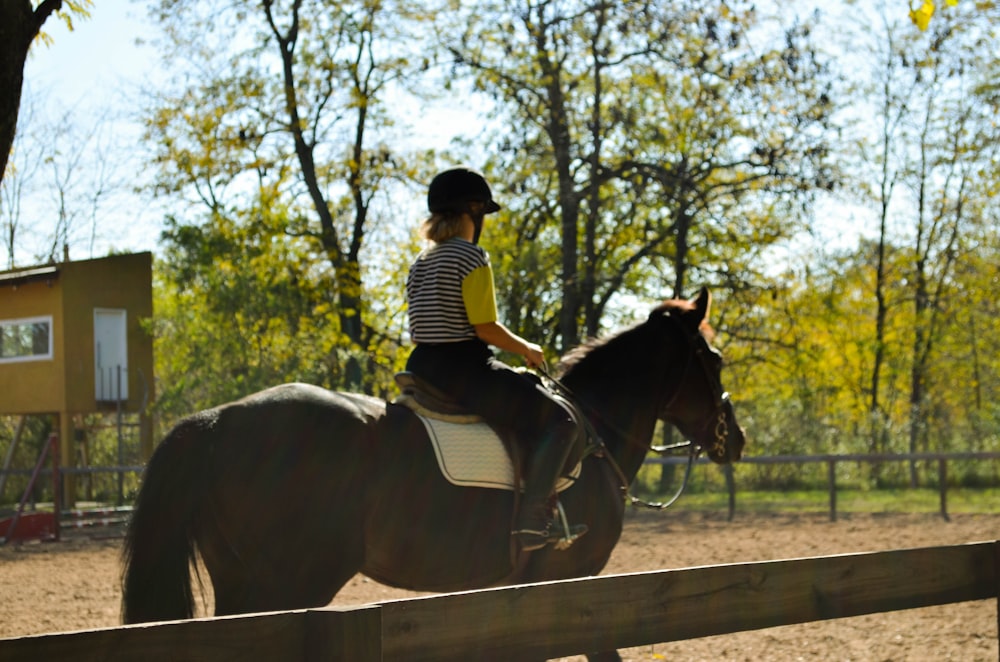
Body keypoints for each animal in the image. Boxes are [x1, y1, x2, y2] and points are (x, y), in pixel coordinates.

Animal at [123, 288, 744, 660]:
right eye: (713, 361)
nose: (734, 439)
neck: (595, 428)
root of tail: (216, 420)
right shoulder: (572, 588)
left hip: (243, 585)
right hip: (286, 585)